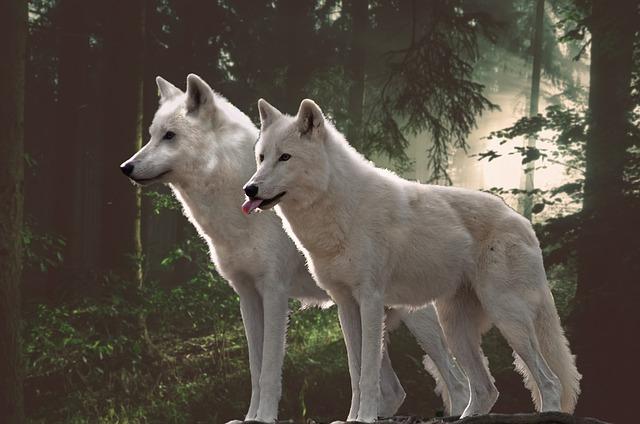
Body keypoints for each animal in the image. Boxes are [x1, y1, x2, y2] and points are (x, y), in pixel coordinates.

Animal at [120, 75, 471, 423]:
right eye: (151, 135)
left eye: (169, 136)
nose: (126, 167)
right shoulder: (247, 296)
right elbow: (254, 369)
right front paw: (249, 417)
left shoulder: (274, 292)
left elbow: (268, 371)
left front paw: (263, 418)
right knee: (394, 389)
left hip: (417, 319)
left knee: (456, 382)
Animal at [243, 98, 582, 422]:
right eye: (261, 157)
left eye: (285, 157)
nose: (249, 189)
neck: (340, 209)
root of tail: (523, 222)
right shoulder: (345, 305)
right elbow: (354, 373)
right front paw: (351, 419)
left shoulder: (370, 300)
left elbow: (368, 375)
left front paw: (365, 418)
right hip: (455, 330)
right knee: (486, 389)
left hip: (507, 319)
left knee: (549, 381)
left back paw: (549, 412)